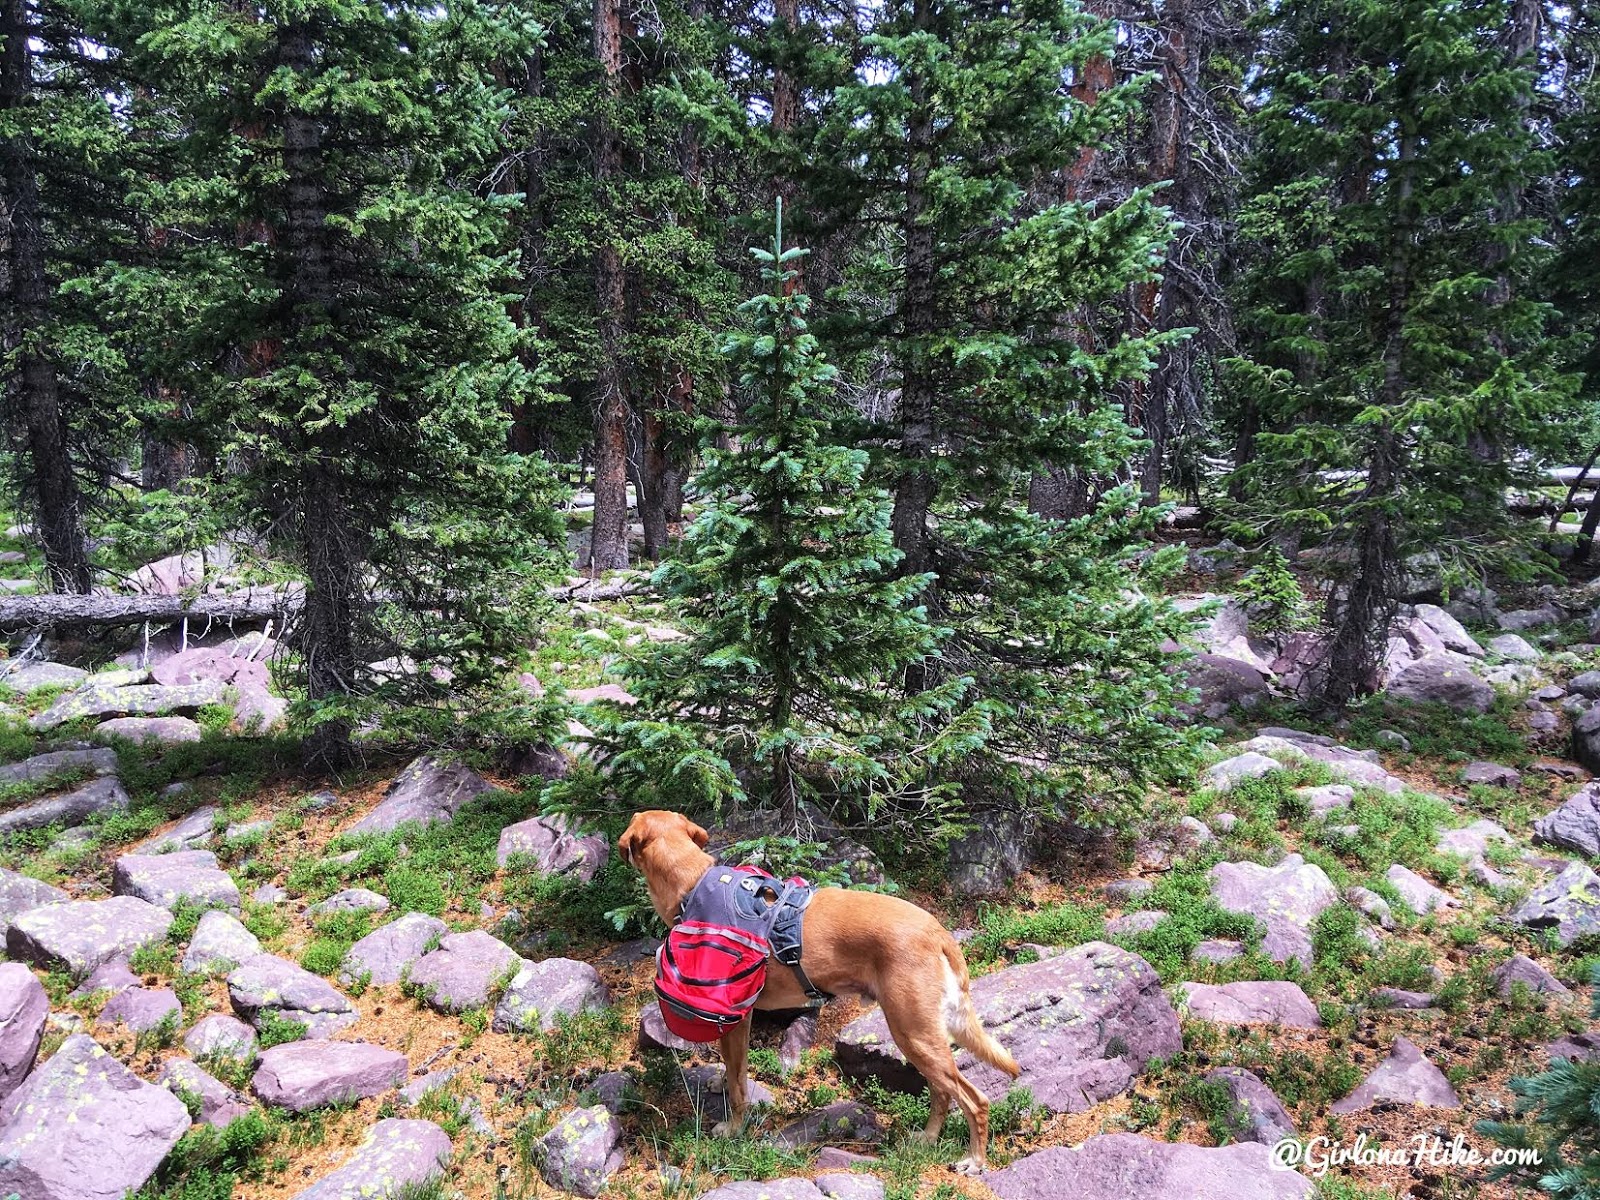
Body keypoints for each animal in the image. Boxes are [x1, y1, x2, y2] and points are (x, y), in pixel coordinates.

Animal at [617, 809, 1017, 1177]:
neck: (692, 884)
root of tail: (938, 931)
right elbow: (736, 1071)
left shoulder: (735, 1017)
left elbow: (738, 1083)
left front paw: (732, 1128)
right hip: (922, 1037)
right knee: (941, 1092)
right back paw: (928, 1138)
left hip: (912, 1032)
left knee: (974, 1099)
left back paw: (975, 1160)